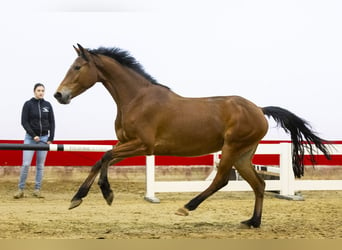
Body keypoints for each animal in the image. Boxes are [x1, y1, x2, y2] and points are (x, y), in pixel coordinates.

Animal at [54, 43, 332, 229]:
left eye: (77, 67)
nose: (59, 95)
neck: (136, 99)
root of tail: (259, 109)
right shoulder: (128, 144)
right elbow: (101, 159)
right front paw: (79, 198)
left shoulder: (142, 145)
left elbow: (105, 156)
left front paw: (104, 194)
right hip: (243, 154)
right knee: (259, 184)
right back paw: (253, 221)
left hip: (231, 149)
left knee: (221, 180)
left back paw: (186, 208)